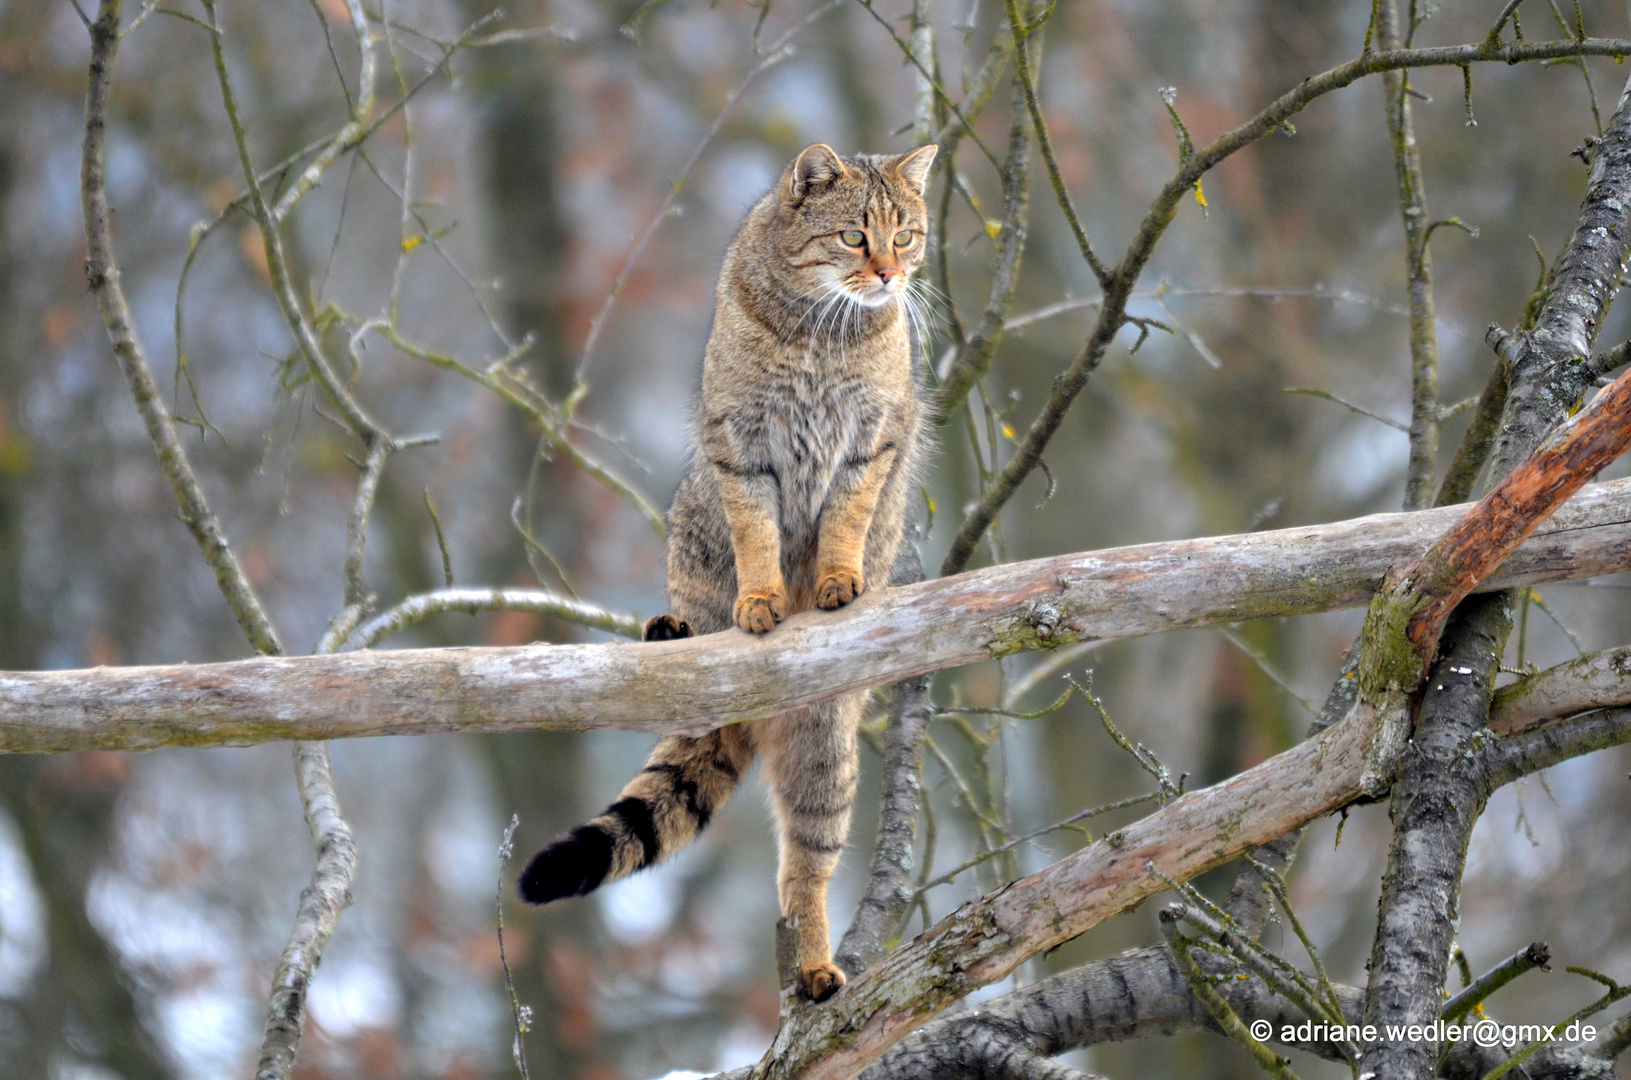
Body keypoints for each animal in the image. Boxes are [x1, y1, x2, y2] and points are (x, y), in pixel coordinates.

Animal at [515, 143, 939, 1004]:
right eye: (853, 235)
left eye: (906, 234)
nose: (888, 275)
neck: (823, 329)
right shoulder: (740, 444)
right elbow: (755, 535)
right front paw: (762, 598)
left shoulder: (870, 441)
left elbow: (845, 521)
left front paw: (835, 582)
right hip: (690, 554)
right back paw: (673, 629)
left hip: (823, 758)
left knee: (802, 874)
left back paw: (813, 963)